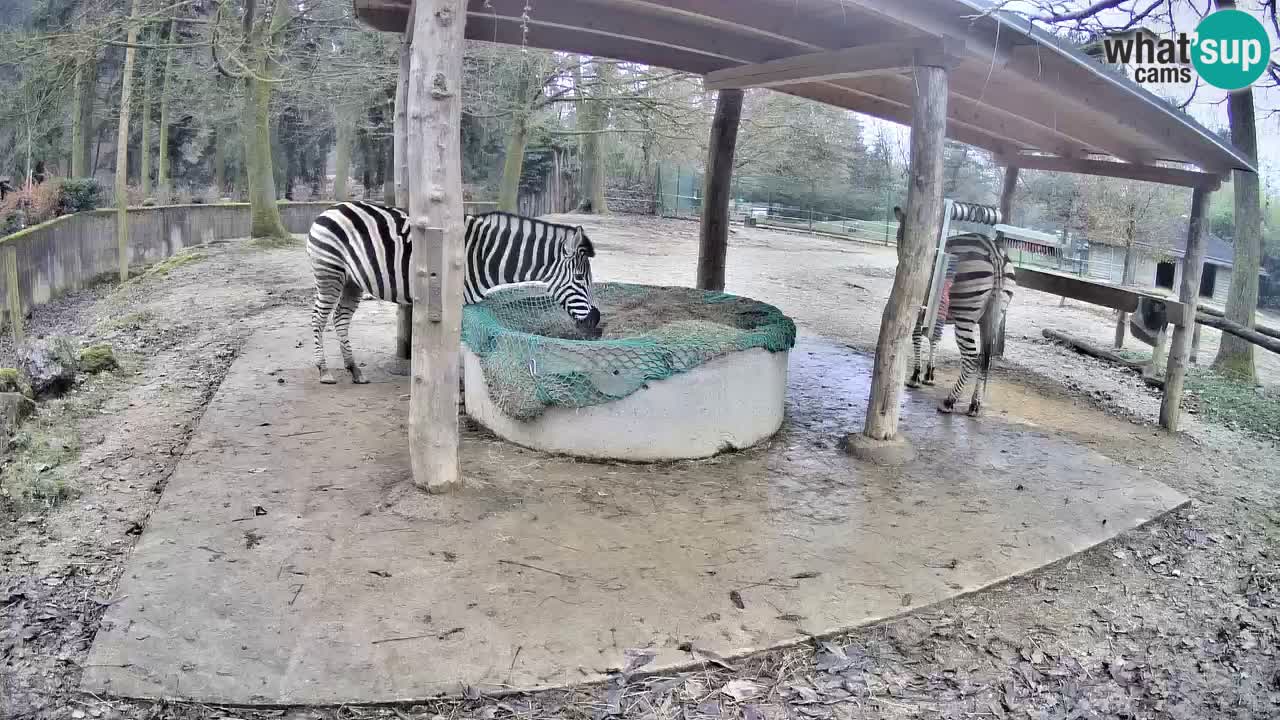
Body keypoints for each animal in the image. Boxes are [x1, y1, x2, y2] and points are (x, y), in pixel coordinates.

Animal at [306, 202, 601, 385]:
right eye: (580, 278)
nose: (596, 321)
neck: (485, 255)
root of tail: (330, 209)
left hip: (352, 281)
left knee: (340, 319)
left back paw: (354, 370)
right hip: (330, 272)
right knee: (319, 319)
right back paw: (324, 370)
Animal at [894, 206, 1016, 416]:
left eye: (899, 236)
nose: (902, 264)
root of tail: (994, 251)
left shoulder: (919, 308)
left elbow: (917, 337)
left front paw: (916, 375)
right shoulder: (937, 311)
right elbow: (935, 338)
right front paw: (929, 374)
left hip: (965, 316)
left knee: (971, 357)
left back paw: (949, 401)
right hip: (993, 317)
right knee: (985, 358)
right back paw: (975, 404)